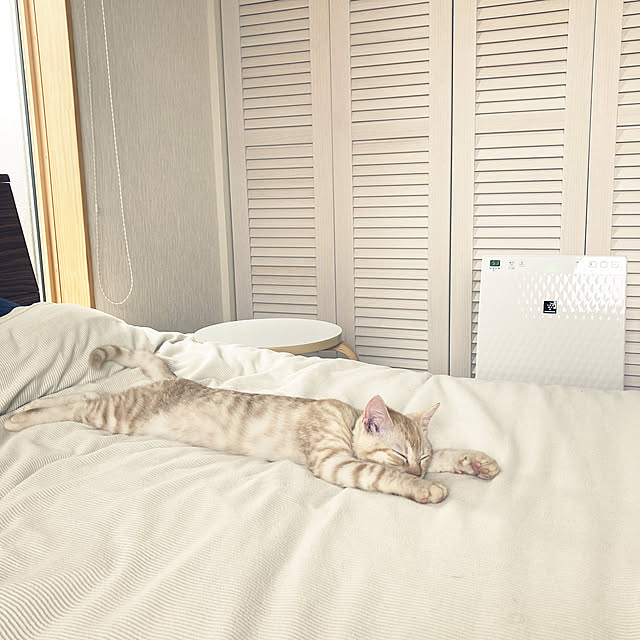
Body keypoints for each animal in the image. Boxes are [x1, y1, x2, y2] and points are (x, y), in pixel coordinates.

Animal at [6, 345, 500, 503]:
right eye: (400, 455)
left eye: (422, 456)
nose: (418, 470)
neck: (344, 417)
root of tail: (173, 377)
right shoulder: (335, 463)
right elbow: (380, 474)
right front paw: (423, 489)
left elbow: (453, 453)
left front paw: (475, 462)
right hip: (117, 414)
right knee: (78, 401)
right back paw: (20, 415)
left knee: (83, 397)